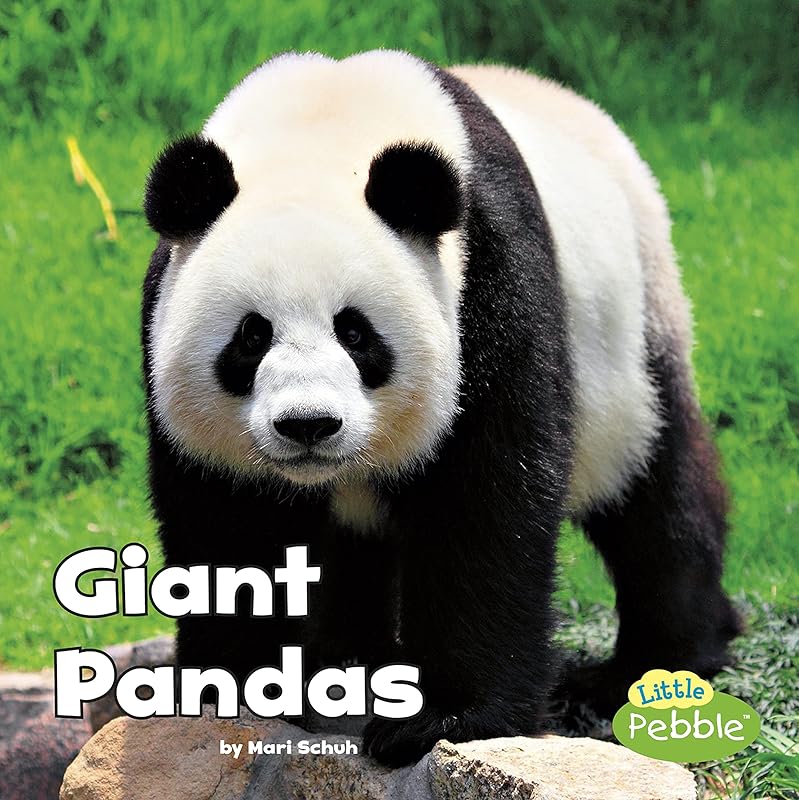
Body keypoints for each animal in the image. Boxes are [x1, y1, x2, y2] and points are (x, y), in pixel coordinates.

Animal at [141, 50, 741, 766]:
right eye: (251, 337)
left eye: (356, 332)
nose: (309, 425)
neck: (323, 130)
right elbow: (227, 525)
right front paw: (232, 689)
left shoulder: (489, 279)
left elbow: (485, 498)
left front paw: (442, 718)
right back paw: (350, 661)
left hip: (631, 331)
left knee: (654, 486)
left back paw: (654, 662)